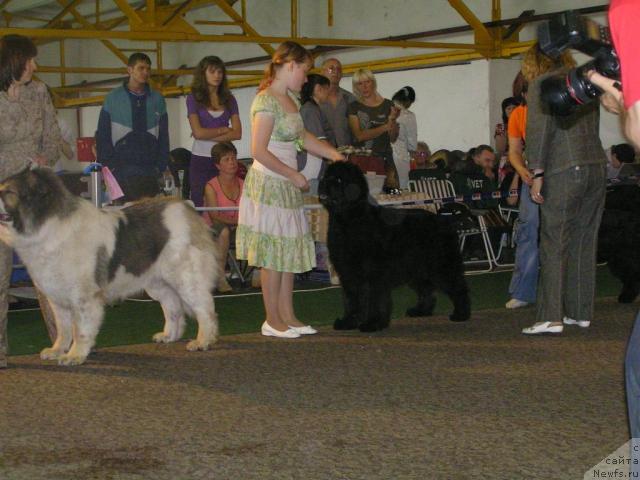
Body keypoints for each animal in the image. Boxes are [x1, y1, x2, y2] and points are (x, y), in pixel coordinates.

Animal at [0, 168, 220, 364]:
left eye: (9, 193)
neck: (49, 227)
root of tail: (186, 209)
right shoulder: (57, 297)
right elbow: (63, 329)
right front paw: (57, 350)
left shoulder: (83, 297)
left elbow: (80, 330)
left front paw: (74, 355)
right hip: (157, 283)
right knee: (172, 306)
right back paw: (169, 336)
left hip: (185, 278)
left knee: (204, 308)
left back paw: (203, 341)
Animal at [318, 161, 470, 330]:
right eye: (326, 176)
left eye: (338, 179)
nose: (322, 184)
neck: (351, 217)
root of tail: (444, 221)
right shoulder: (348, 272)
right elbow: (351, 299)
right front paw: (349, 322)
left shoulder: (374, 274)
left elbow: (374, 300)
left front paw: (374, 323)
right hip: (418, 269)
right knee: (427, 290)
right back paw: (421, 311)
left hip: (441, 266)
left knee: (458, 287)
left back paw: (461, 314)